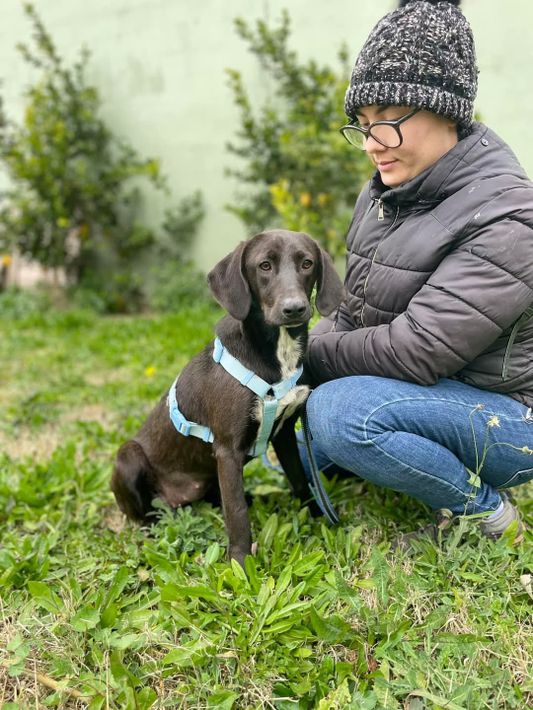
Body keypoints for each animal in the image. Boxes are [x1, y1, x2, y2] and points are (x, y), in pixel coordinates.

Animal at [111, 229, 344, 566]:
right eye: (264, 265)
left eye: (307, 263)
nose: (294, 308)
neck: (277, 355)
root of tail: (179, 499)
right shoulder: (227, 450)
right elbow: (237, 514)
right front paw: (241, 565)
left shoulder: (284, 433)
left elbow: (300, 479)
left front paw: (316, 516)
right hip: (127, 456)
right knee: (144, 515)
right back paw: (159, 525)